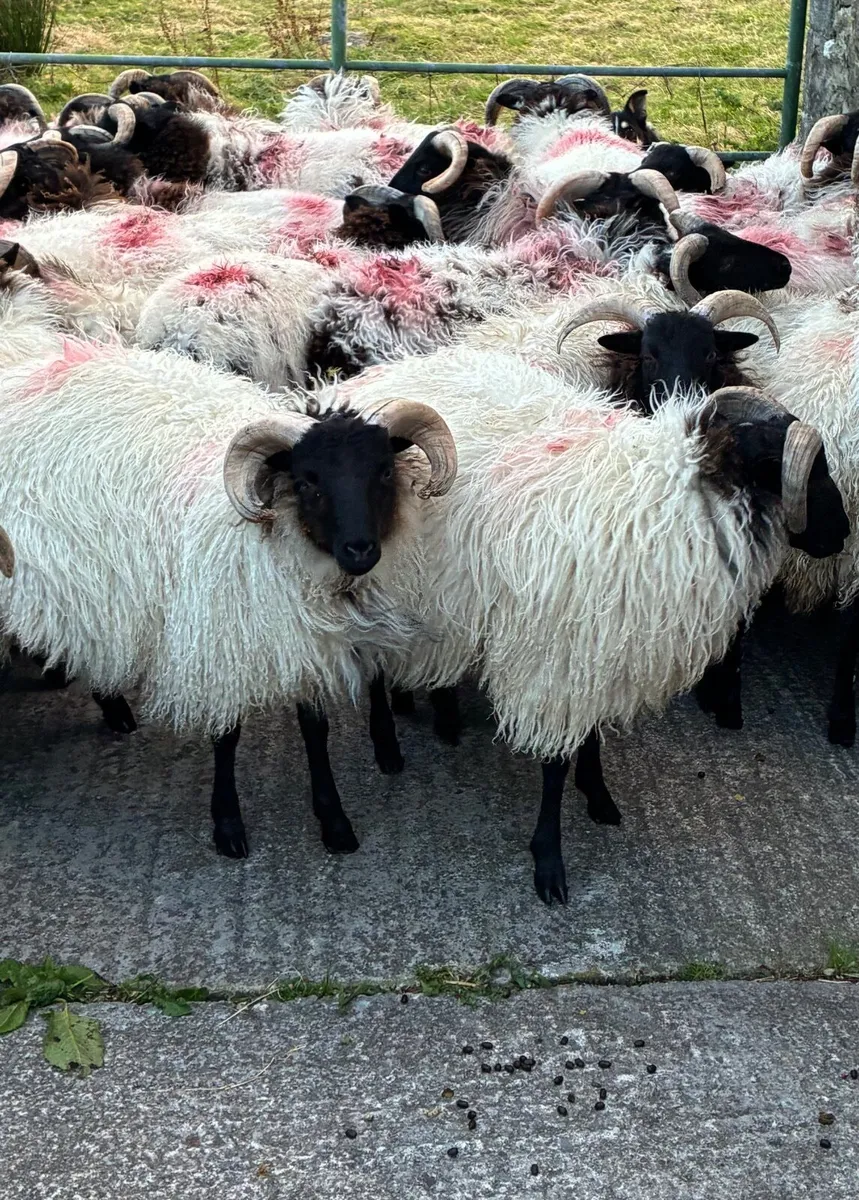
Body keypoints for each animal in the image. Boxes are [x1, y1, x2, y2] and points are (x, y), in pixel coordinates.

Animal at [0, 338, 456, 855]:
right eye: (307, 481)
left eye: (383, 472)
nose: (360, 549)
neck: (277, 537)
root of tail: (38, 366)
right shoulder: (220, 637)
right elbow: (227, 736)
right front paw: (228, 825)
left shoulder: (304, 637)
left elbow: (314, 731)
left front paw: (334, 821)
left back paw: (112, 707)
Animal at [316, 345, 846, 901]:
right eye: (795, 470)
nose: (842, 533)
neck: (672, 503)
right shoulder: (558, 654)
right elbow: (554, 766)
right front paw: (549, 861)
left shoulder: (599, 644)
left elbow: (590, 736)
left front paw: (598, 795)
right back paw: (388, 740)